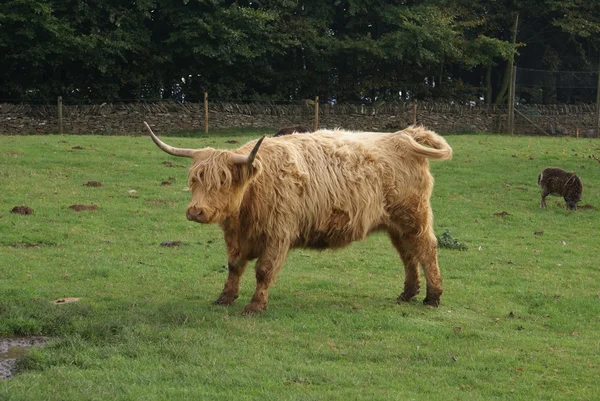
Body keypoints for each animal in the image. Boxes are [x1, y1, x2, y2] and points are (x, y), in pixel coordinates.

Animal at [145, 122, 452, 312]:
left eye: (222, 181)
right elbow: (234, 267)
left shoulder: (278, 234)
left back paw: (432, 297)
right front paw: (225, 298)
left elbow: (263, 270)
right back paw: (408, 294)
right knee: (408, 254)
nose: (196, 211)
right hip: (395, 224)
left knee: (426, 249)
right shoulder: (236, 236)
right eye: (194, 179)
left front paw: (255, 306)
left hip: (414, 216)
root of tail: (402, 135)